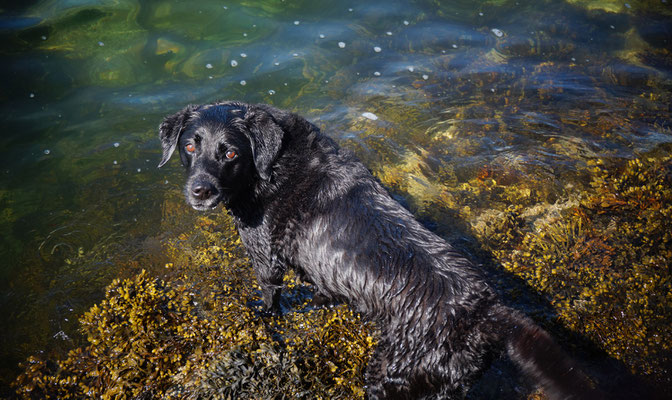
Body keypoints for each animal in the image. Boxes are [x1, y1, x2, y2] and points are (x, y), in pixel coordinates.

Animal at [159, 101, 600, 400]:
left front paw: (261, 316)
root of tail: (484, 312)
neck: (273, 166)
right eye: (190, 147)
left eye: (231, 152)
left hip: (393, 373)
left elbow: (269, 297)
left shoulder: (264, 256)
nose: (200, 191)